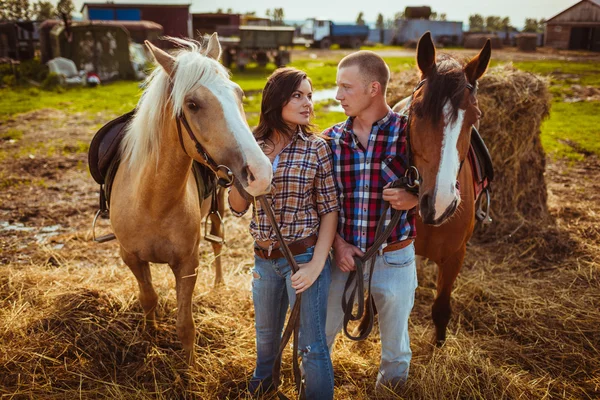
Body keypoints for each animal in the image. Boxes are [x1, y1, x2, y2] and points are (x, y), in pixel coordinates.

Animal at [109, 34, 272, 362]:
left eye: (238, 94)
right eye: (192, 104)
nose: (261, 173)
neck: (153, 202)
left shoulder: (187, 264)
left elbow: (186, 326)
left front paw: (188, 367)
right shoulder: (130, 257)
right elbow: (148, 298)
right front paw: (149, 336)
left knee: (218, 241)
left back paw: (219, 284)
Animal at [396, 32, 490, 344]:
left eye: (475, 117)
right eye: (418, 110)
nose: (440, 203)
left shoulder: (454, 258)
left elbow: (441, 309)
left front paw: (438, 345)